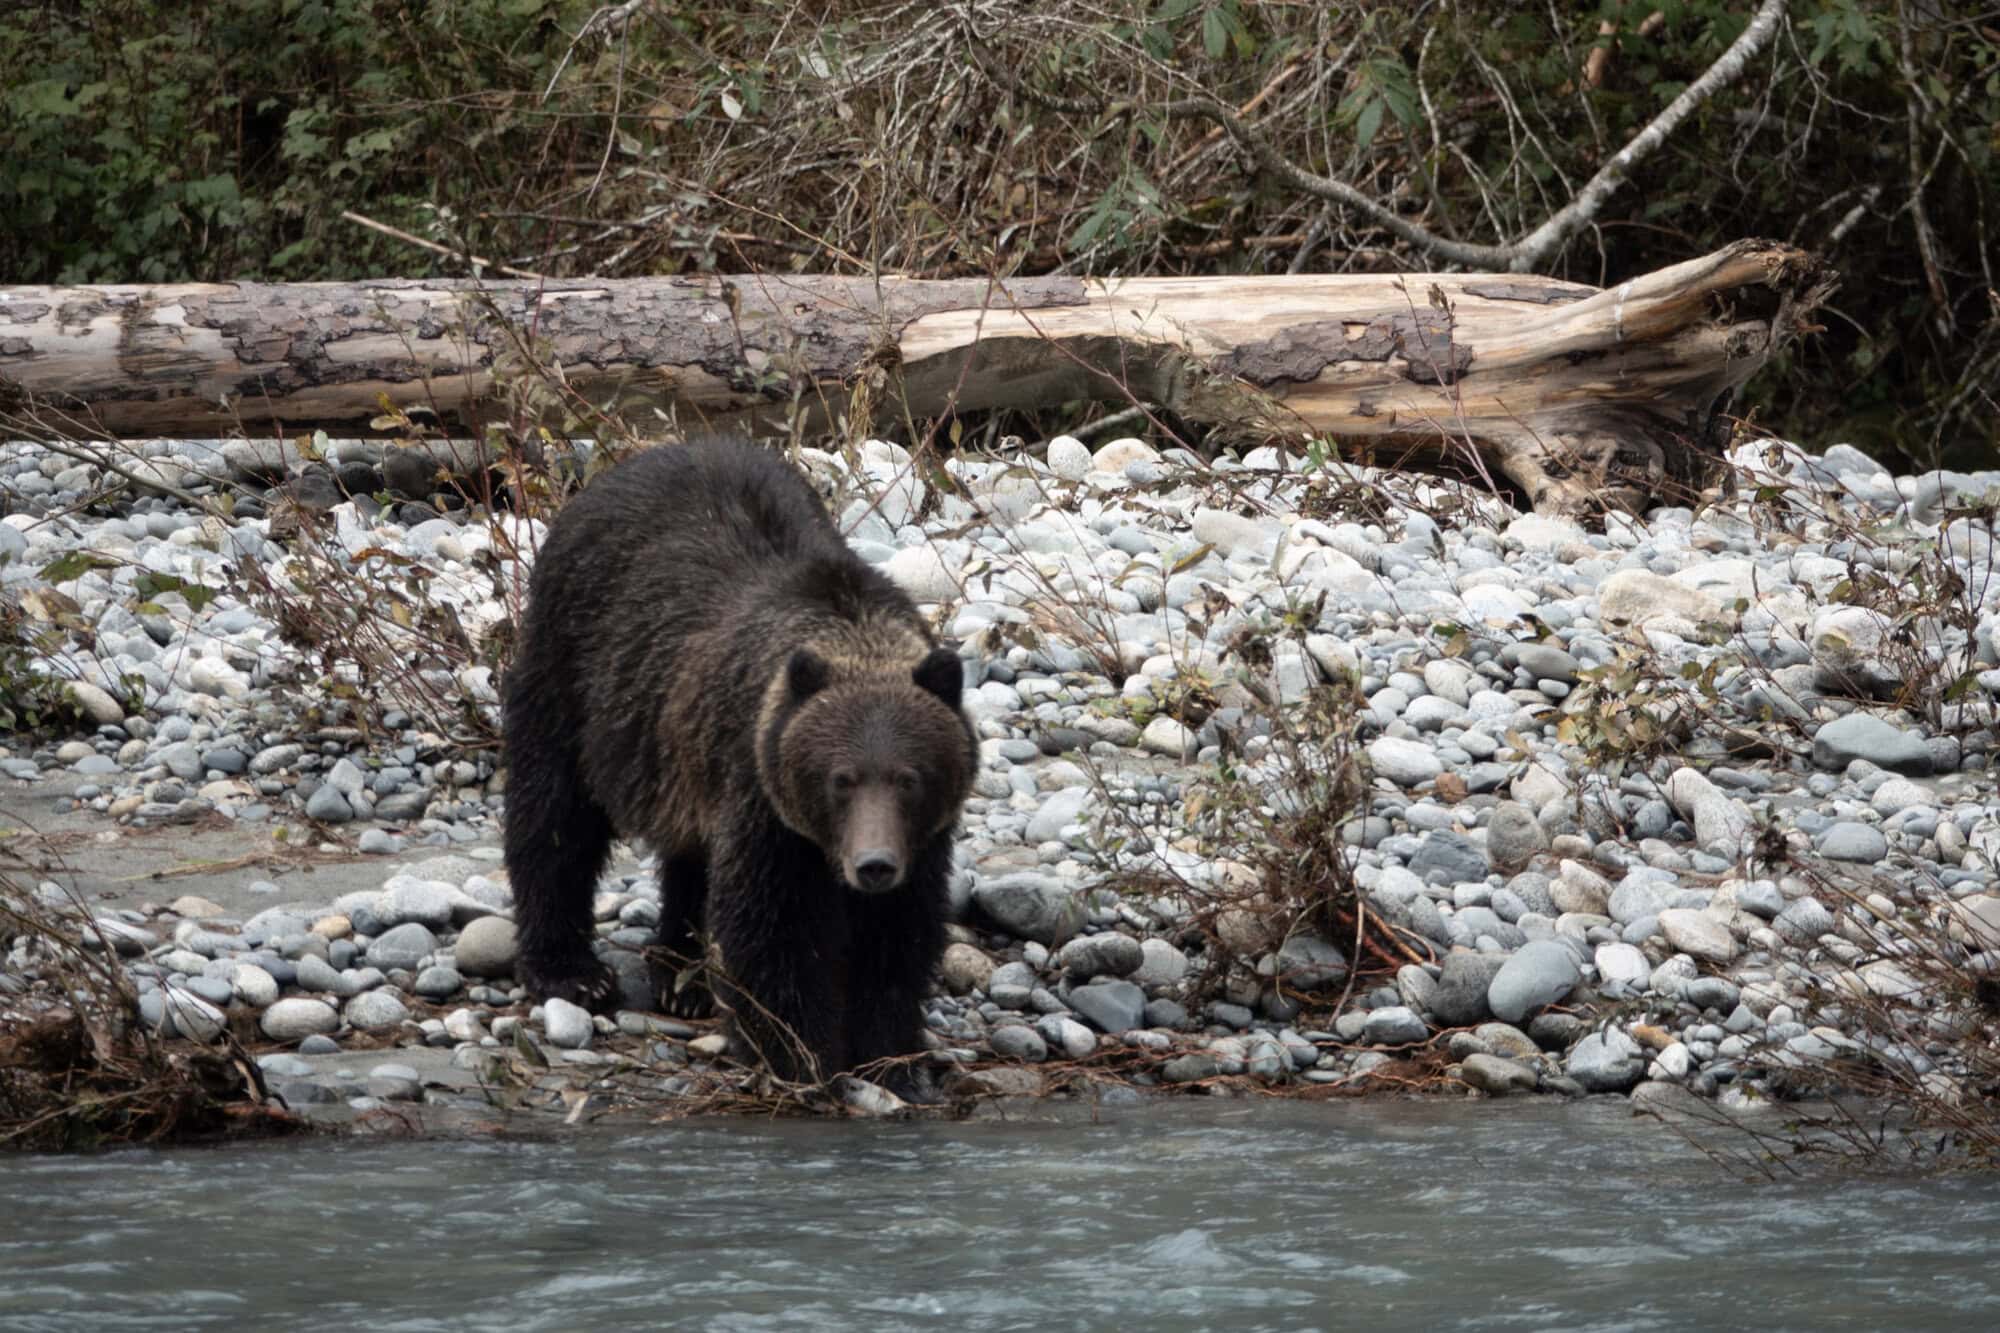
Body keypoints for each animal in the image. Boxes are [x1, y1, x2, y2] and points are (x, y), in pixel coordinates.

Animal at [500, 435, 975, 1094]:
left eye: (910, 778)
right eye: (841, 779)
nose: (873, 865)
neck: (855, 634)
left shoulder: (920, 840)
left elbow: (898, 936)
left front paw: (889, 1055)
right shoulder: (764, 800)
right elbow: (772, 930)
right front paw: (799, 1055)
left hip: (676, 749)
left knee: (689, 856)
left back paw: (683, 979)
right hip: (575, 669)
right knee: (553, 814)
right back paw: (572, 970)